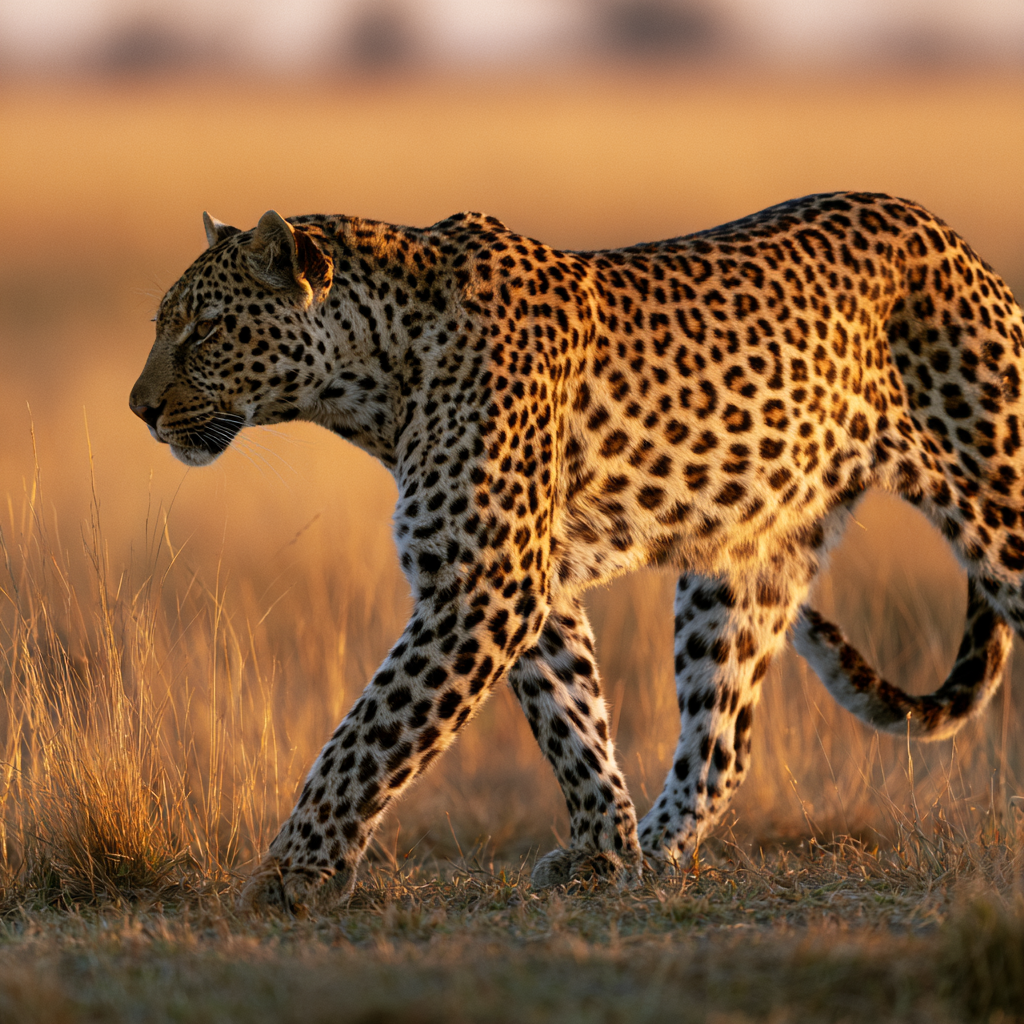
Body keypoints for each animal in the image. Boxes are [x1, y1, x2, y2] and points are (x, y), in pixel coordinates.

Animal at [130, 191, 1024, 913]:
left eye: (205, 330)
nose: (140, 409)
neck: (375, 387)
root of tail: (955, 240)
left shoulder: (484, 583)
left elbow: (370, 731)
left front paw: (292, 872)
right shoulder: (529, 585)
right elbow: (572, 719)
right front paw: (606, 852)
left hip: (998, 500)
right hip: (743, 565)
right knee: (723, 743)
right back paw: (659, 853)